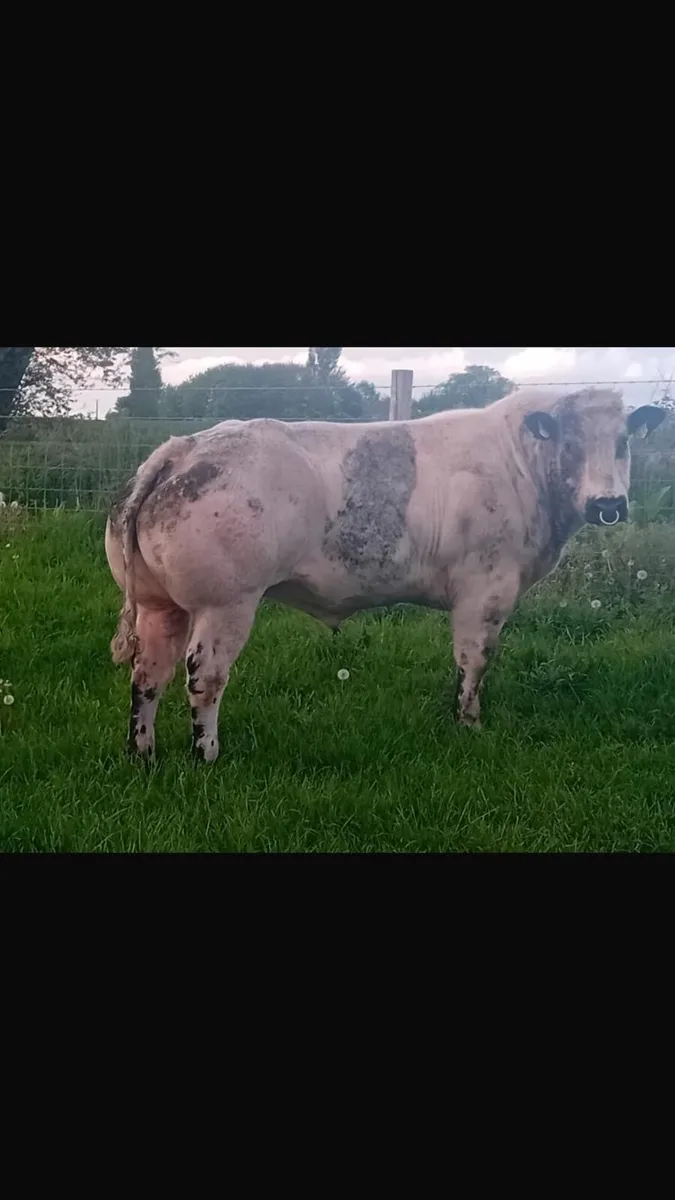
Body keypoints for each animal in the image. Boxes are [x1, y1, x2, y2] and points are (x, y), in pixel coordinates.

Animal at [105, 388, 665, 761]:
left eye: (623, 441)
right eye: (569, 443)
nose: (608, 503)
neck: (519, 465)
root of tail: (185, 446)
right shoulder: (486, 589)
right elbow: (475, 659)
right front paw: (469, 723)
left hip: (161, 604)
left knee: (148, 673)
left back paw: (143, 754)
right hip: (226, 602)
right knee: (204, 676)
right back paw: (207, 756)